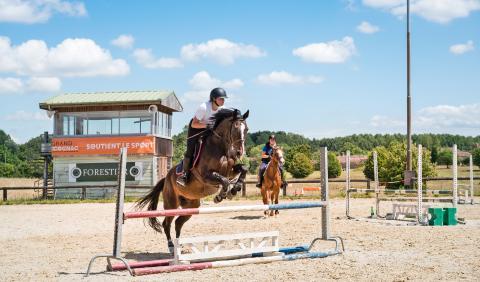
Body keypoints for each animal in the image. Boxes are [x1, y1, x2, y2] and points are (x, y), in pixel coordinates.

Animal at [134, 107, 248, 251]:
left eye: (246, 129)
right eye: (235, 128)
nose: (240, 152)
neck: (220, 148)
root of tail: (166, 178)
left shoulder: (230, 171)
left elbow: (243, 169)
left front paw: (234, 189)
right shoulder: (206, 176)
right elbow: (225, 181)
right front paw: (220, 196)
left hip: (191, 205)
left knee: (178, 223)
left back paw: (178, 246)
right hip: (171, 204)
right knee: (167, 223)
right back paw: (171, 246)